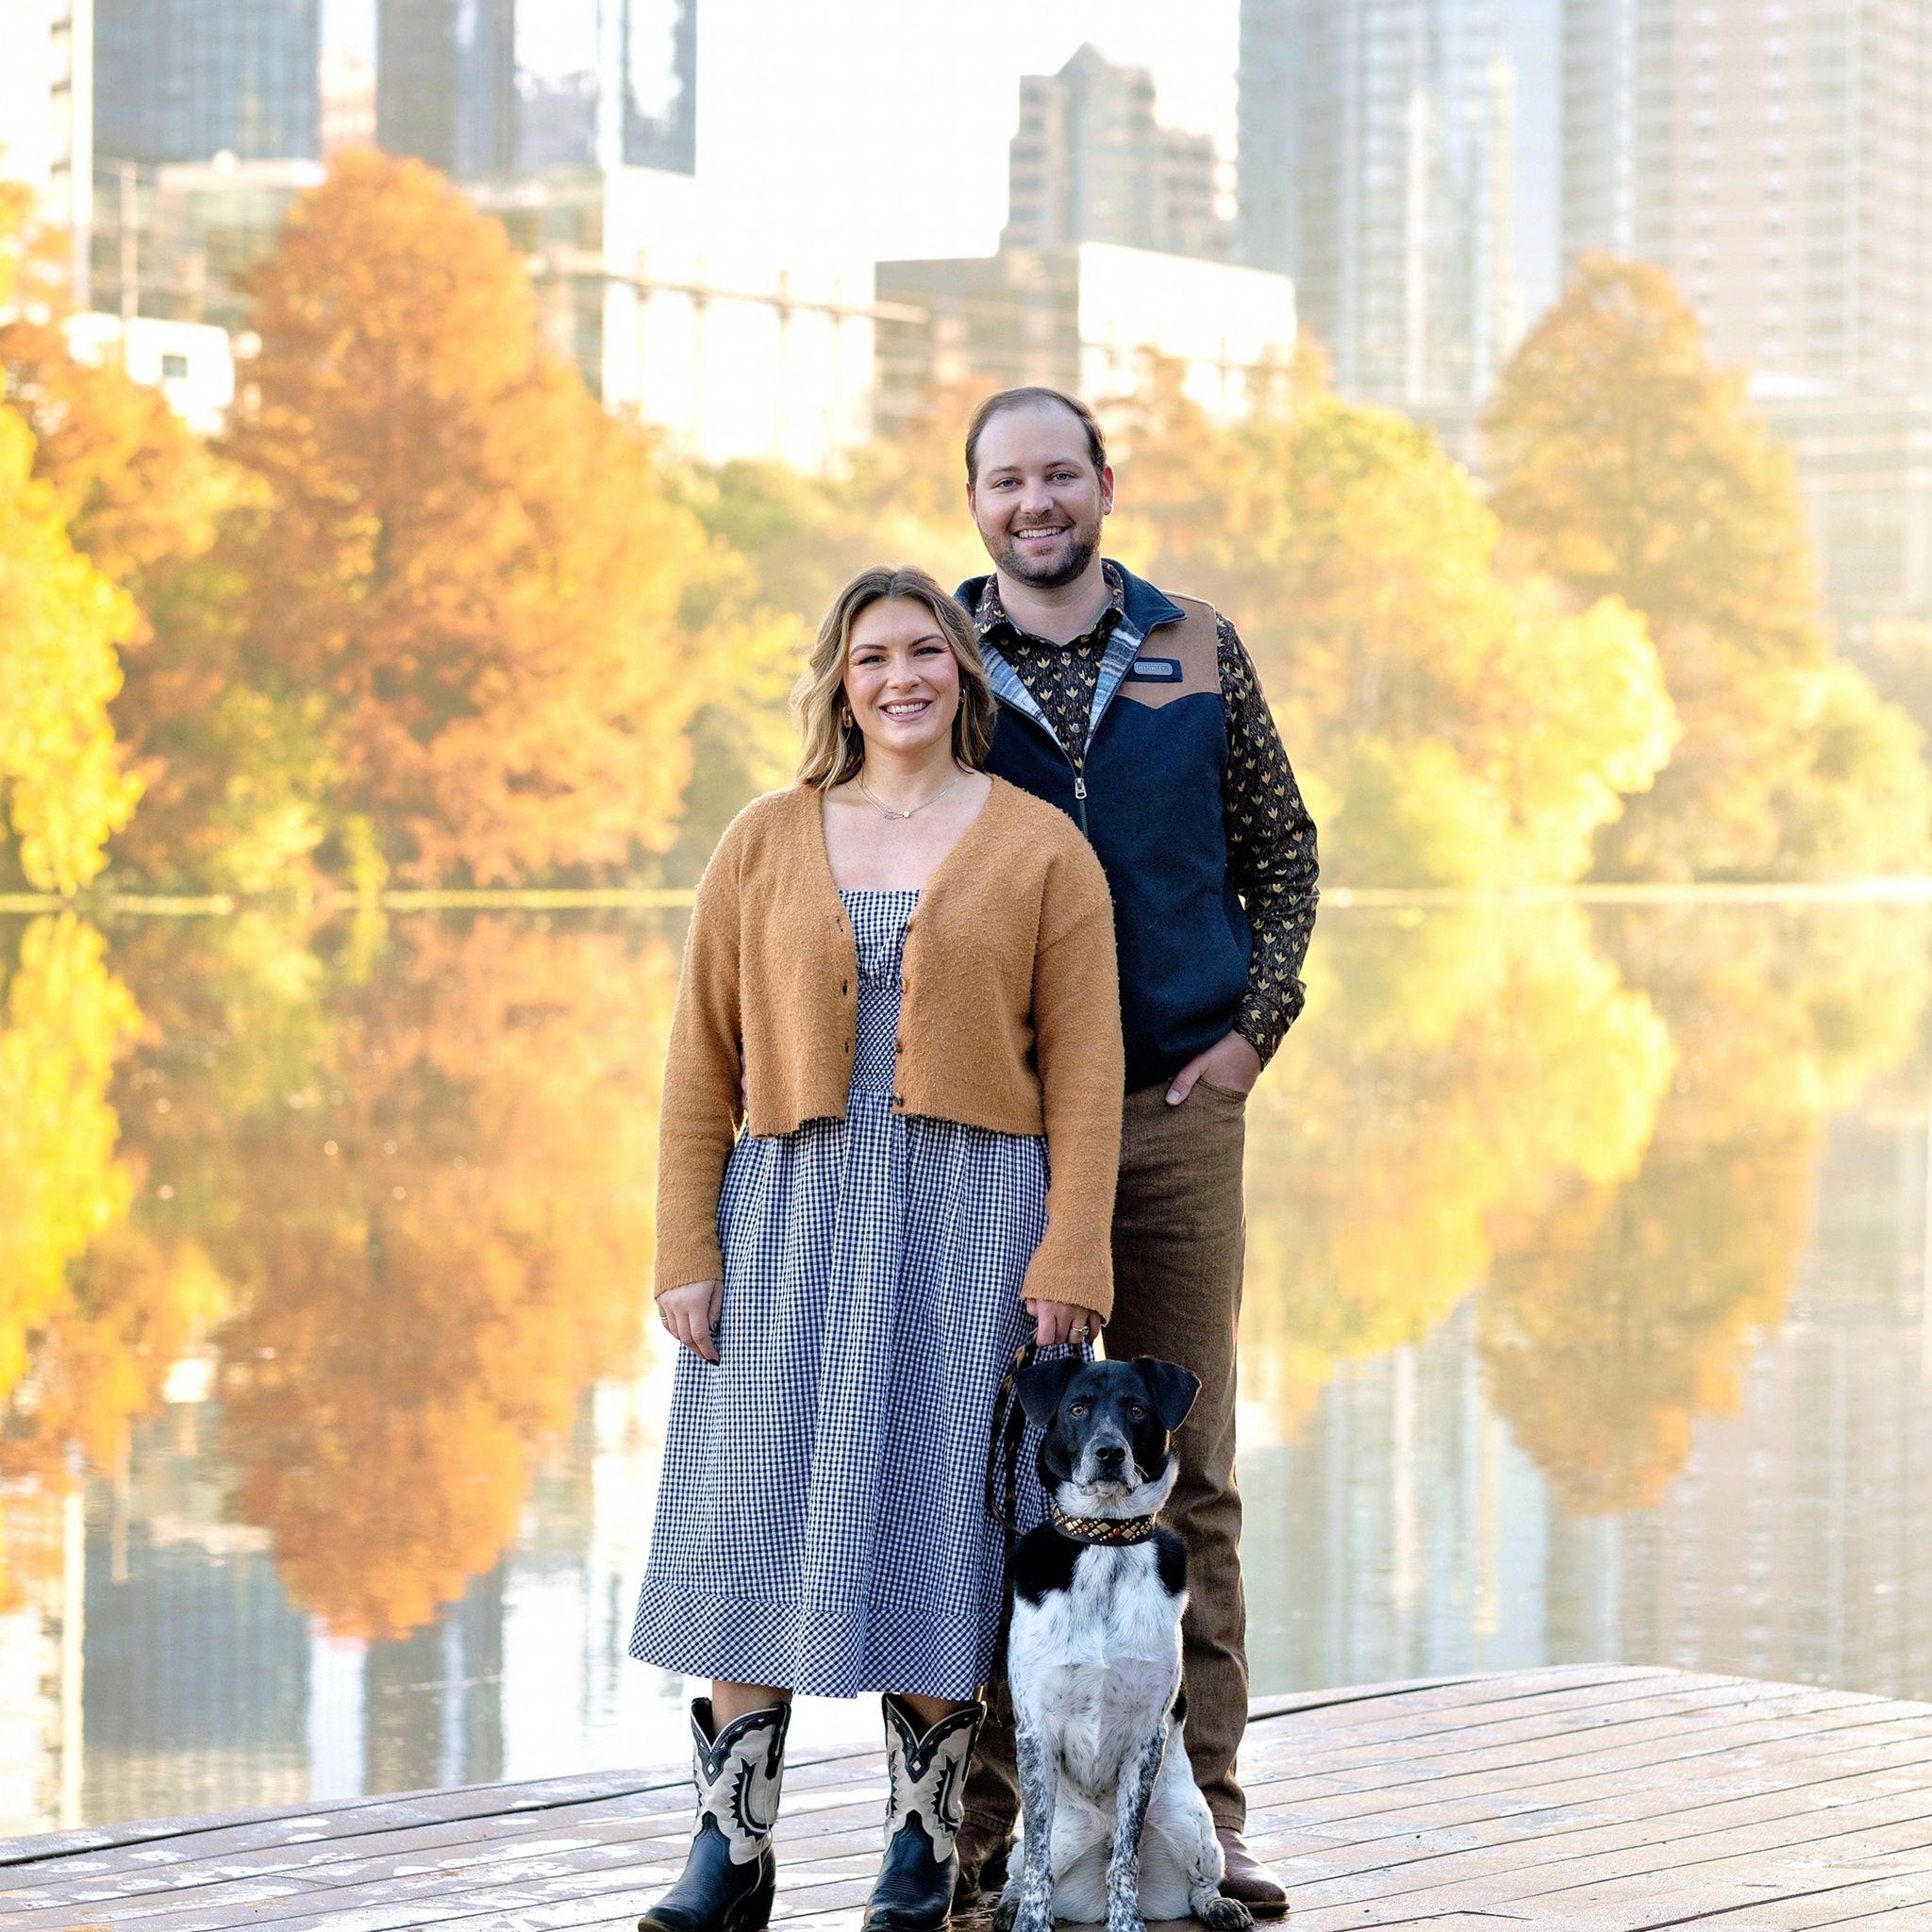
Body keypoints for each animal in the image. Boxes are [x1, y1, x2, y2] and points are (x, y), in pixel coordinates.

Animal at [993, 1356, 1253, 1932]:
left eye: (1136, 1409)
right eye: (1077, 1408)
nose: (1109, 1452)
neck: (1106, 1544)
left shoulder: (1146, 1734)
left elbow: (1125, 1858)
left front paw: (1127, 1923)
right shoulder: (1035, 1732)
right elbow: (1039, 1866)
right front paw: (1030, 1923)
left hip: (1188, 1819)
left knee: (1196, 1879)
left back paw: (1220, 1905)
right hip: (1056, 1835)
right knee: (1025, 1869)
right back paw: (1009, 1906)